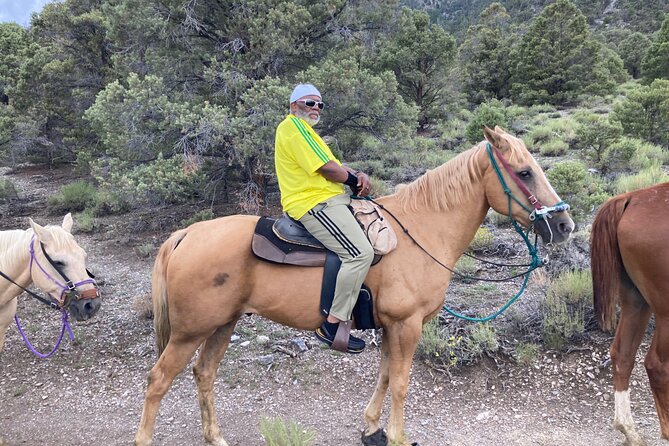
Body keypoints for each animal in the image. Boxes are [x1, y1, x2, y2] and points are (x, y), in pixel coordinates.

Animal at [134, 126, 576, 446]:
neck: (421, 231)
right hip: (190, 331)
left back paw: (216, 437)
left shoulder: (390, 327)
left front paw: (372, 429)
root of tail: (186, 234)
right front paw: (397, 437)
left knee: (204, 374)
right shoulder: (406, 325)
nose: (564, 225)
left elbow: (384, 377)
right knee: (158, 380)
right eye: (524, 172)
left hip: (221, 325)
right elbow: (401, 383)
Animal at [592, 182, 669, 446]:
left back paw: (629, 430)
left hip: (636, 303)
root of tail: (631, 198)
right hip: (664, 312)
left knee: (622, 355)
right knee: (657, 365)